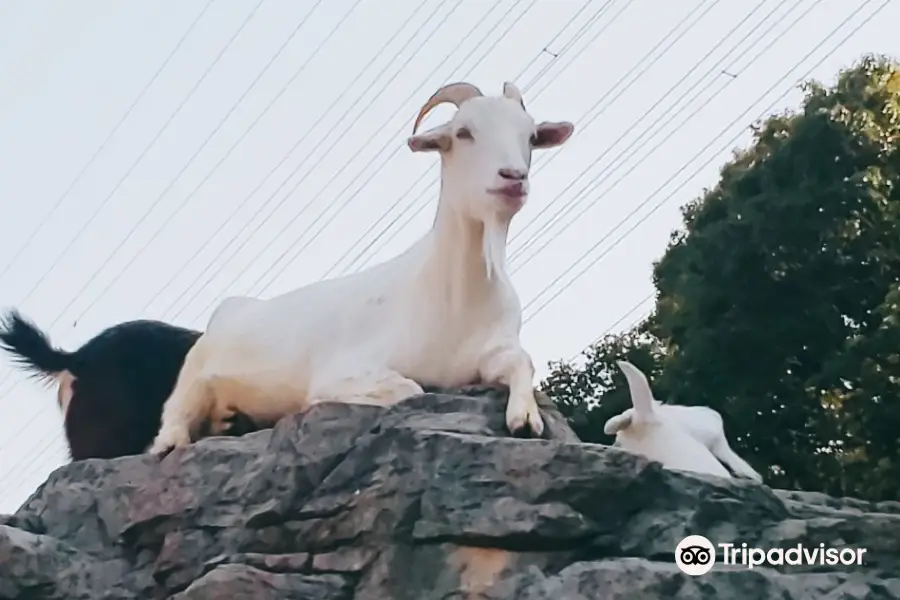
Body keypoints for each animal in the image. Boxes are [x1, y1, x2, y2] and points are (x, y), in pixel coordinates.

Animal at [146, 81, 568, 454]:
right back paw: (175, 440)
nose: (514, 178)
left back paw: (229, 420)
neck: (454, 292)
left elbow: (521, 361)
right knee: (174, 413)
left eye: (530, 136)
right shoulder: (346, 369)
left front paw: (525, 419)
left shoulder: (491, 350)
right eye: (463, 133)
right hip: (193, 374)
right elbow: (411, 389)